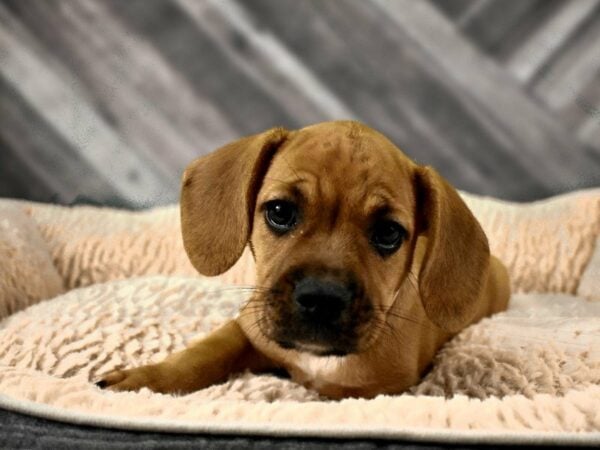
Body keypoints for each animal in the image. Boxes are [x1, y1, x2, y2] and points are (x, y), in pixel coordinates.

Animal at [98, 121, 510, 400]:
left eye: (389, 233)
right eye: (280, 211)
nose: (322, 299)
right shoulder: (247, 329)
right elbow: (202, 353)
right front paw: (144, 379)